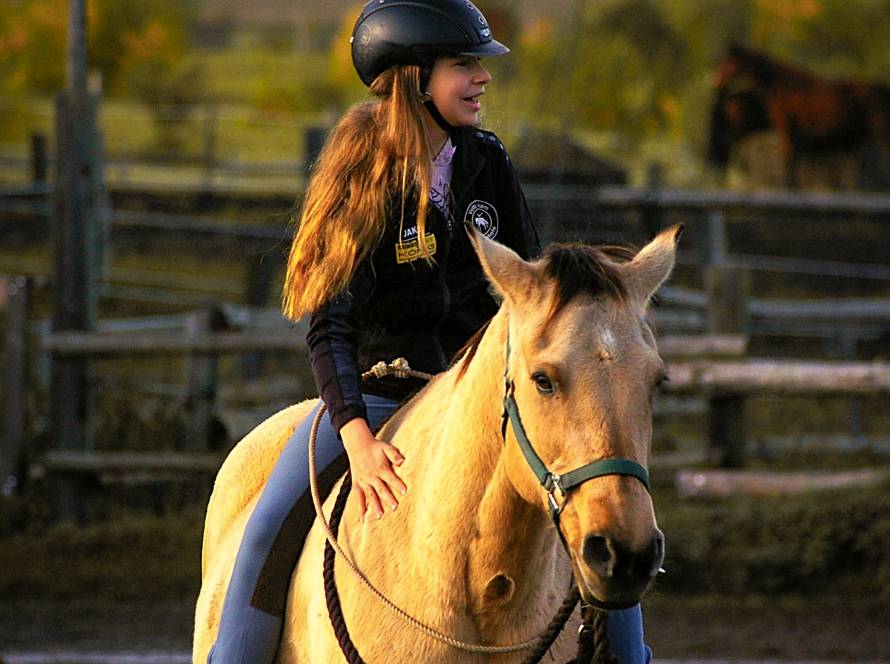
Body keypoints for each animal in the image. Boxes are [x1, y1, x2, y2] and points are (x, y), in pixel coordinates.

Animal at [707, 43, 890, 188]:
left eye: (728, 63)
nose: (715, 80)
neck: (779, 87)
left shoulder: (787, 132)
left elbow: (789, 168)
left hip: (880, 135)